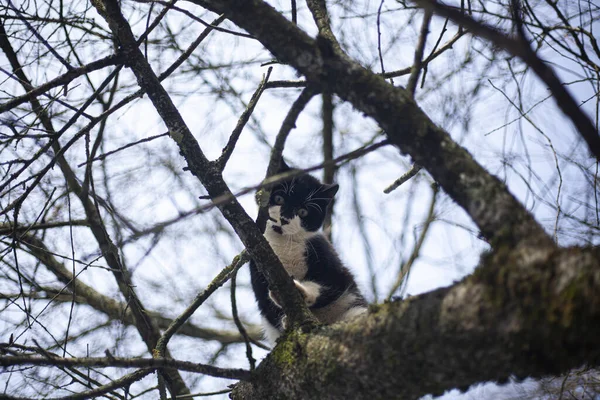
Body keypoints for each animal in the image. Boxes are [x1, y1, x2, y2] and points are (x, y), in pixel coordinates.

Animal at [247, 158, 366, 342]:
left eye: (303, 212)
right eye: (279, 198)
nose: (284, 218)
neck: (284, 243)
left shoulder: (324, 253)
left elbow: (330, 284)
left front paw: (300, 291)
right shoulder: (255, 264)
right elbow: (267, 306)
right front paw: (285, 320)